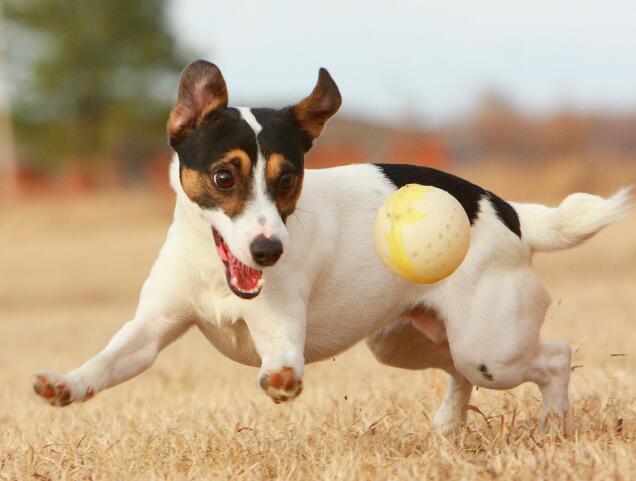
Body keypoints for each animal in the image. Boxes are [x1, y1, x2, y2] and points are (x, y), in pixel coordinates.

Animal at [33, 60, 632, 432]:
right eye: (225, 177)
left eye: (288, 178)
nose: (269, 251)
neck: (215, 269)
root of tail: (510, 211)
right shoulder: (150, 329)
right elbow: (106, 362)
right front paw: (65, 385)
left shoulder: (279, 328)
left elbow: (281, 361)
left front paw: (281, 382)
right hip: (410, 343)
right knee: (459, 371)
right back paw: (448, 427)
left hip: (491, 348)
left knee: (555, 357)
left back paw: (553, 427)